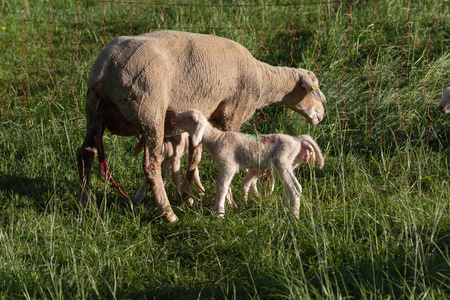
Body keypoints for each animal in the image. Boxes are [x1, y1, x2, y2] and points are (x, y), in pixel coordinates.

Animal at [75, 31, 326, 223]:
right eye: (313, 88)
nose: (322, 115)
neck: (262, 81)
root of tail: (104, 72)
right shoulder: (233, 112)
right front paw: (229, 203)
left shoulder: (206, 117)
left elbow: (194, 159)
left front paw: (189, 196)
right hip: (149, 111)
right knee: (151, 166)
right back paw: (169, 214)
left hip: (93, 108)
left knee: (86, 153)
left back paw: (85, 205)